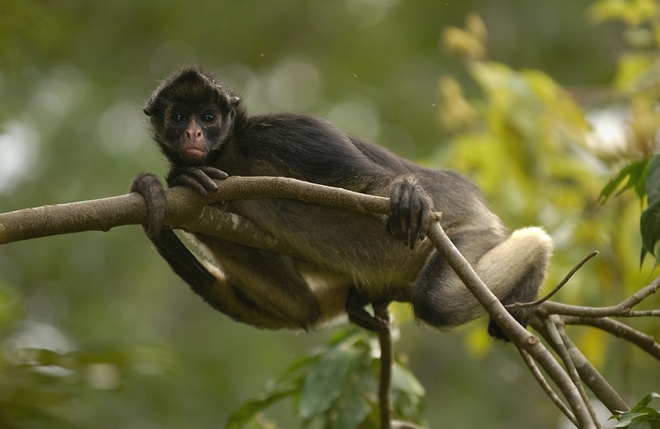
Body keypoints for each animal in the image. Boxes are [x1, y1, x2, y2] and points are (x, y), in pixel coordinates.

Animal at [130, 65, 553, 341]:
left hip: (470, 232)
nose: (194, 133)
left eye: (208, 117)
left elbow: (369, 181)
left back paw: (536, 248)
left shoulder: (285, 133)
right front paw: (181, 179)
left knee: (437, 301)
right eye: (179, 117)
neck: (230, 154)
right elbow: (300, 308)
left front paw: (406, 190)